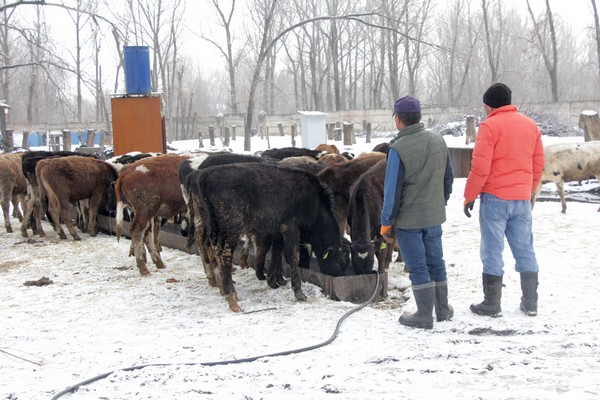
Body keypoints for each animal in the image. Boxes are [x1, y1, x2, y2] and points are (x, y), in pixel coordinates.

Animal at [185, 162, 350, 312]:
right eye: (340, 261)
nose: (341, 278)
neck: (316, 202)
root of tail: (204, 175)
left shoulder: (277, 231)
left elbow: (276, 253)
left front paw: (274, 281)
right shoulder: (291, 225)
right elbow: (293, 255)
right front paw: (298, 292)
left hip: (210, 226)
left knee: (209, 248)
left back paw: (223, 288)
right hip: (231, 228)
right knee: (223, 254)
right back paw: (232, 298)